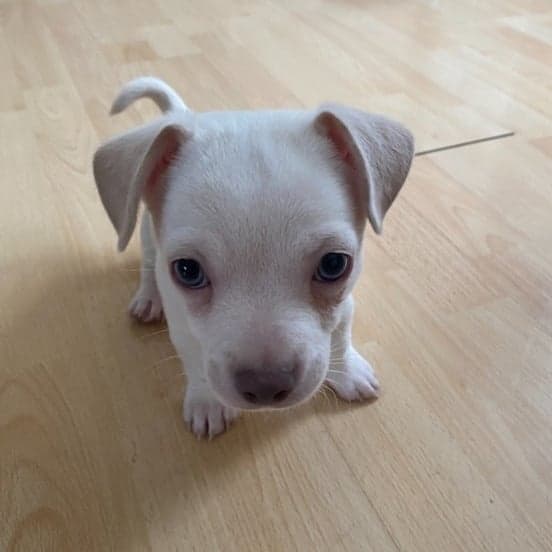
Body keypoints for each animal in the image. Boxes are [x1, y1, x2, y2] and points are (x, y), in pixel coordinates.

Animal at [94, 78, 414, 440]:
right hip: (147, 236)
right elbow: (196, 360)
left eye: (335, 265)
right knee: (149, 265)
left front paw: (347, 371)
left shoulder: (345, 304)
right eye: (187, 271)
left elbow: (340, 337)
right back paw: (149, 297)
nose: (265, 386)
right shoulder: (184, 325)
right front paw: (207, 402)